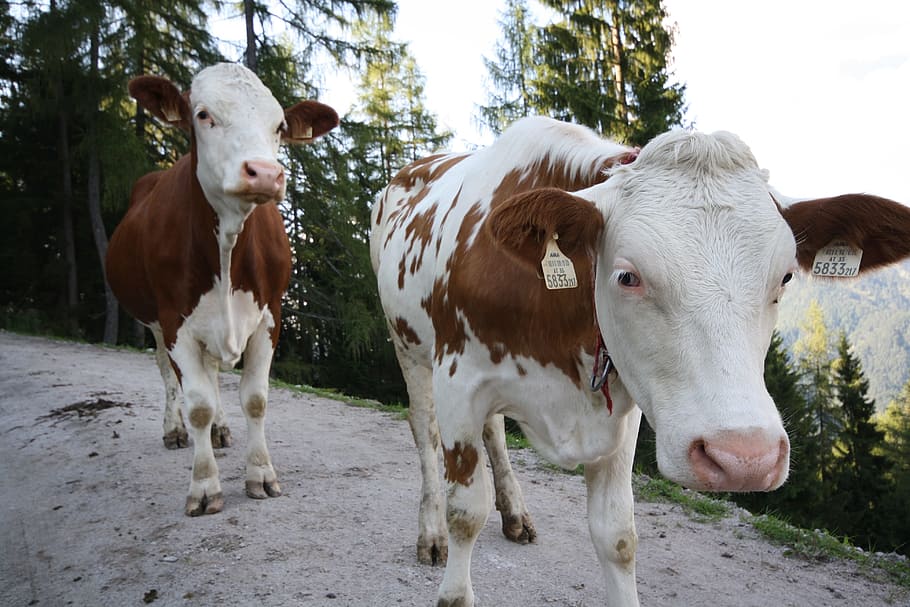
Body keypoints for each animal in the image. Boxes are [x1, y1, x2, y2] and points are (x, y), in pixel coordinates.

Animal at [106, 62, 338, 516]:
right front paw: (204, 486)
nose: (264, 173)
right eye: (203, 115)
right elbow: (197, 403)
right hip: (155, 322)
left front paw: (261, 475)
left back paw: (220, 429)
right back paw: (175, 430)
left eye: (279, 126)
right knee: (168, 374)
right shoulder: (174, 321)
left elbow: (255, 398)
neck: (228, 243)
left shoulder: (270, 315)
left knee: (213, 373)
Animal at [369, 116, 910, 606]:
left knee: (496, 433)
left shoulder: (623, 407)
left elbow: (617, 535)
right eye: (628, 276)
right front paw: (452, 574)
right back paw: (431, 533)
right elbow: (466, 512)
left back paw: (516, 514)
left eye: (785, 277)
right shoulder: (460, 383)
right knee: (424, 429)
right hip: (408, 345)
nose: (744, 458)